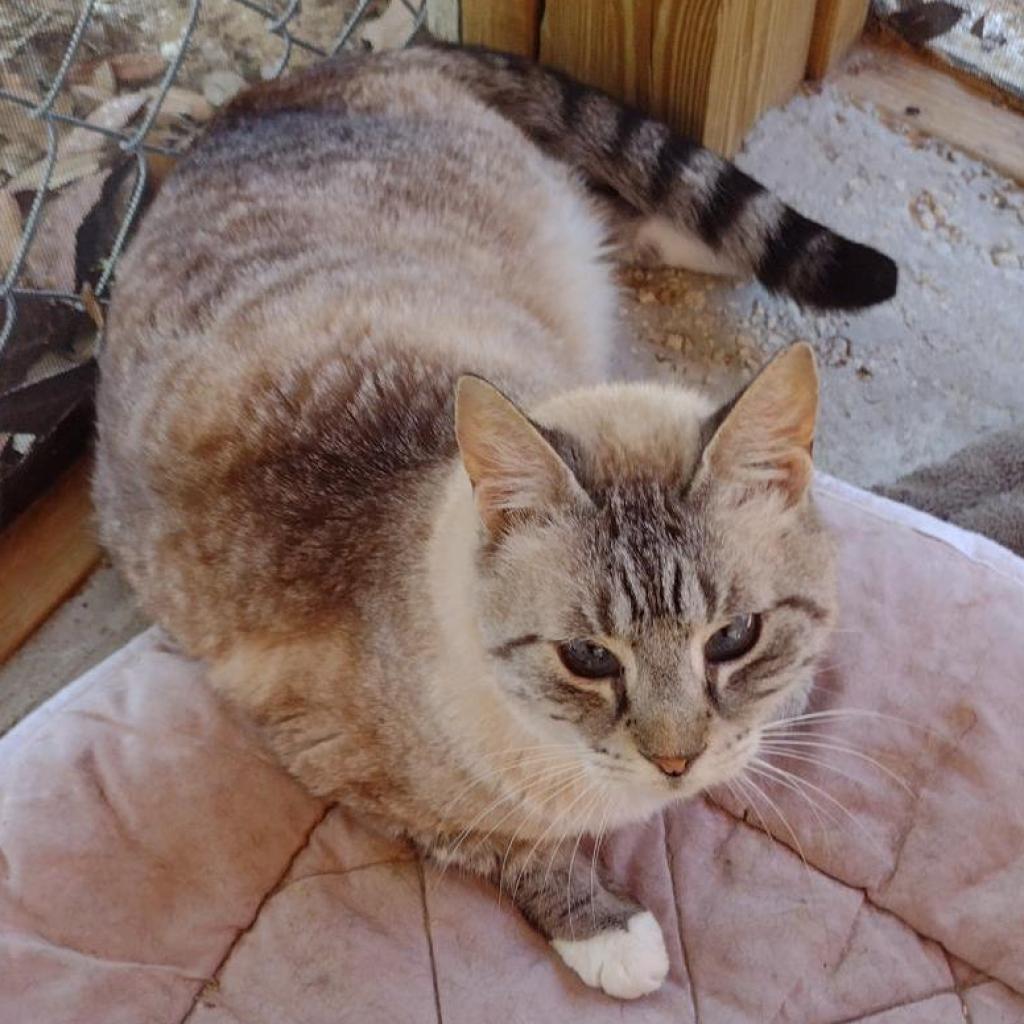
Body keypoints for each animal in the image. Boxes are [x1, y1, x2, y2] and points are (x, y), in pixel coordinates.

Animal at [97, 44, 897, 995]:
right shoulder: (346, 770)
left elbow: (782, 696)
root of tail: (279, 88)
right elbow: (501, 844)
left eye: (734, 638)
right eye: (588, 659)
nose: (677, 764)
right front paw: (610, 932)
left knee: (624, 212)